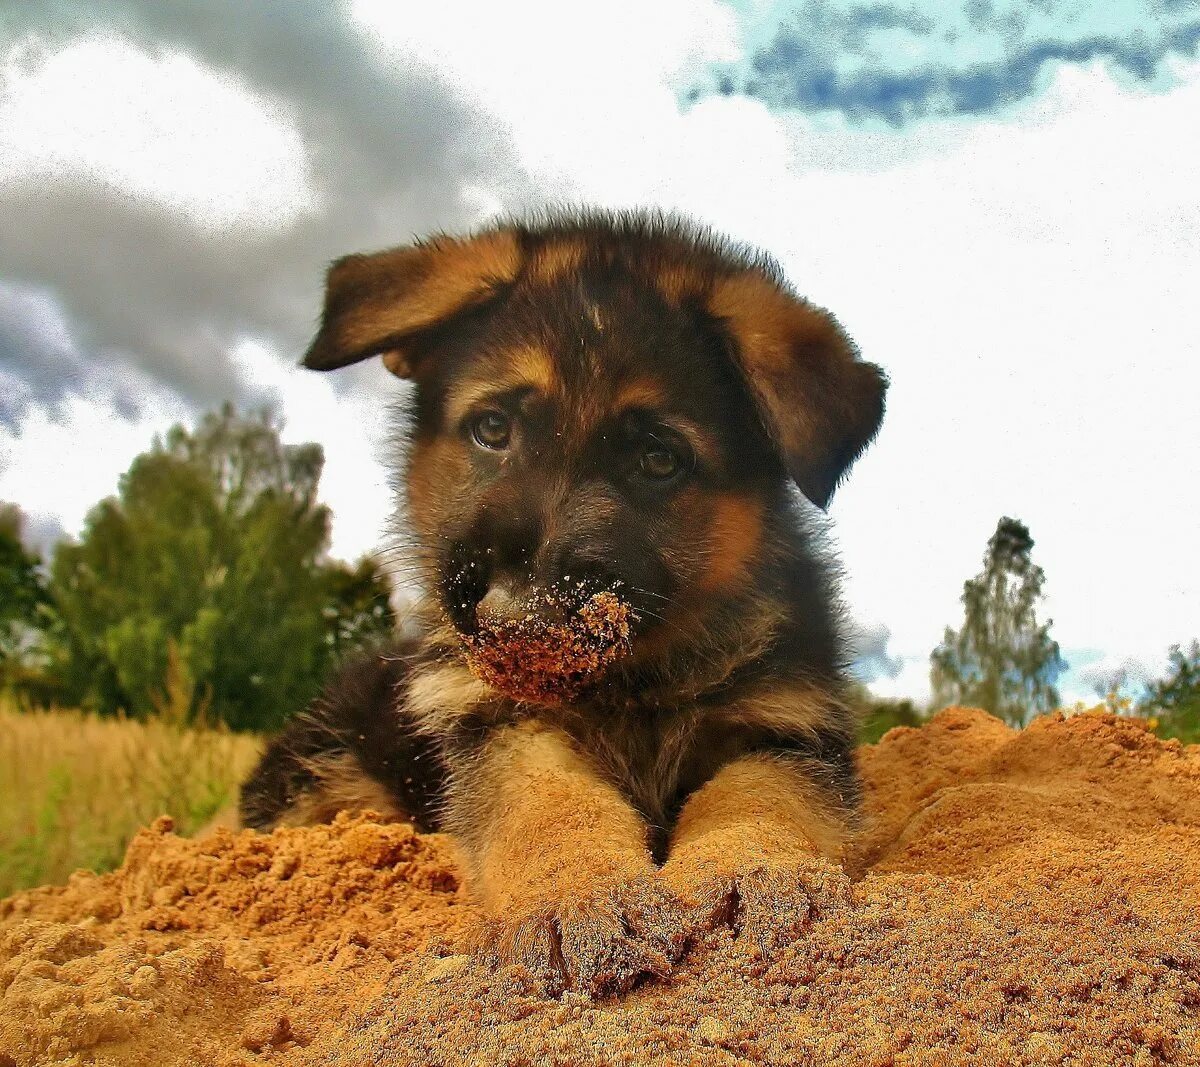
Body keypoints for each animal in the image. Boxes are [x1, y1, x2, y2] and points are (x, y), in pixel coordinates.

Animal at [241, 207, 883, 988]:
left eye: (658, 459)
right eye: (493, 429)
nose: (516, 621)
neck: (632, 685)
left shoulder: (790, 728)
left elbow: (758, 796)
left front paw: (750, 878)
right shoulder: (497, 722)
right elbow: (548, 799)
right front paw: (584, 894)